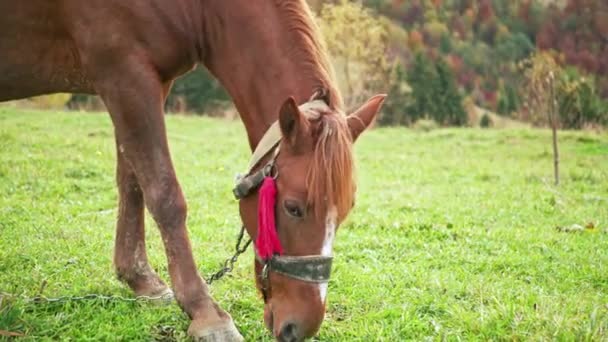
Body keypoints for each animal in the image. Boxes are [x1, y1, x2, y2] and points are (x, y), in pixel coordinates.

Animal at [1, 1, 384, 340]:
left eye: (345, 212)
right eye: (293, 208)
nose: (299, 327)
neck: (200, 7)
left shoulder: (148, 83)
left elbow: (133, 182)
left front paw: (140, 278)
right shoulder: (125, 75)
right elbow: (164, 193)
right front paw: (205, 313)